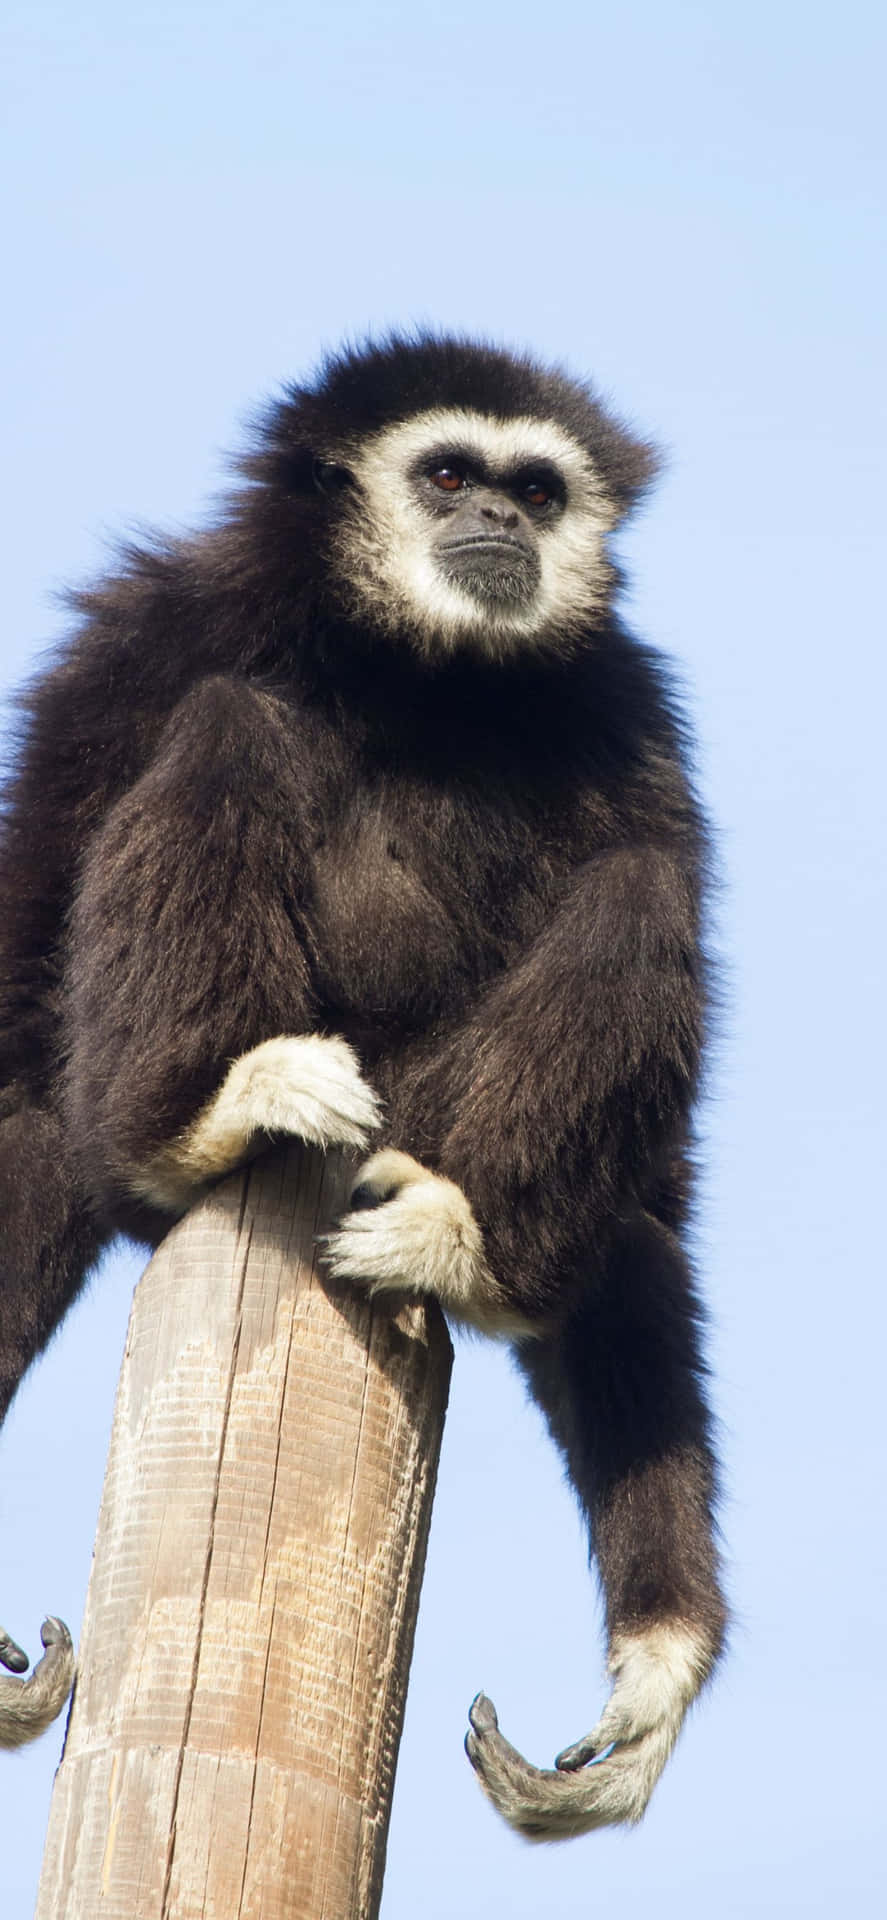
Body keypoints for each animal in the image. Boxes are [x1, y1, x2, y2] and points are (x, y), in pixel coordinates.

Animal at [0, 333, 726, 1837]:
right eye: (448, 474)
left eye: (535, 487)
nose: (501, 517)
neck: (411, 666)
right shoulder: (135, 639)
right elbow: (24, 1050)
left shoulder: (628, 714)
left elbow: (653, 1207)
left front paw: (657, 1671)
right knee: (226, 721)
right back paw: (196, 1121)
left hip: (435, 1109)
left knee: (639, 886)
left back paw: (461, 1241)